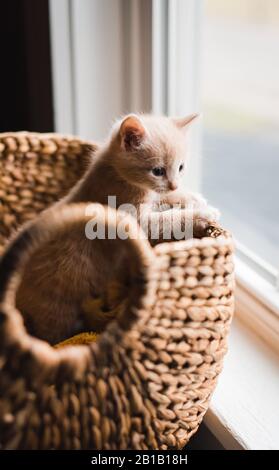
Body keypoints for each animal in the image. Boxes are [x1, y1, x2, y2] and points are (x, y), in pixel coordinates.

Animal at [15, 113, 221, 342]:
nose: (174, 184)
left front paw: (192, 197)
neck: (117, 174)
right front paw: (202, 214)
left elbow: (163, 198)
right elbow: (168, 219)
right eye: (158, 171)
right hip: (57, 310)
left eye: (181, 167)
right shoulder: (134, 221)